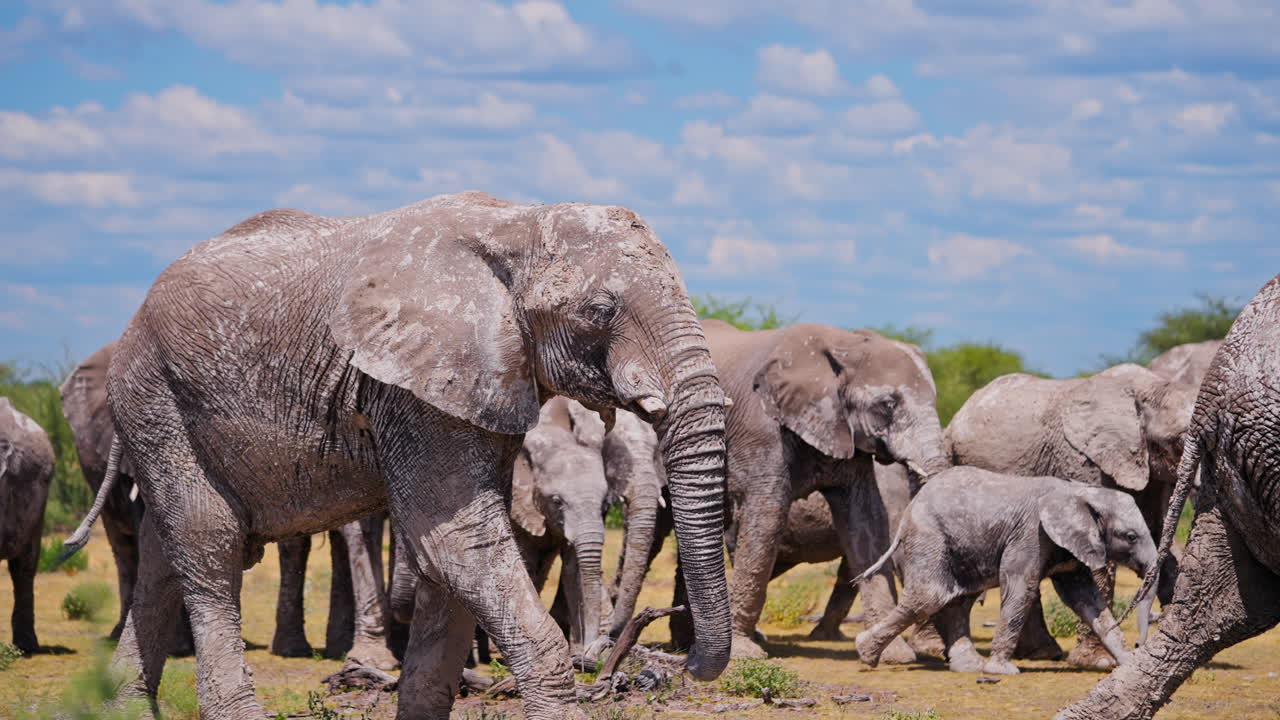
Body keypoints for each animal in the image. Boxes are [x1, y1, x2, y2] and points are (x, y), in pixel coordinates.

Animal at [662, 319, 950, 660]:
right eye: (887, 405)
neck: (844, 343)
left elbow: (866, 523)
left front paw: (893, 656)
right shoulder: (760, 427)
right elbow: (767, 515)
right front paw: (743, 653)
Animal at [854, 466, 1159, 675]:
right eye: (1130, 536)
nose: (1138, 646)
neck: (1081, 492)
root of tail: (909, 509)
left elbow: (1085, 599)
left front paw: (1128, 666)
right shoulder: (1031, 534)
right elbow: (1021, 588)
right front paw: (1002, 671)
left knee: (959, 598)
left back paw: (969, 666)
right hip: (928, 535)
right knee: (931, 595)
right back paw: (865, 652)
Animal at [945, 363, 1194, 667]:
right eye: (1179, 441)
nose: (1139, 643)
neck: (1149, 389)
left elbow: (1159, 538)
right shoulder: (1081, 458)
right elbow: (1099, 560)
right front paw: (1098, 662)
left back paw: (1042, 653)